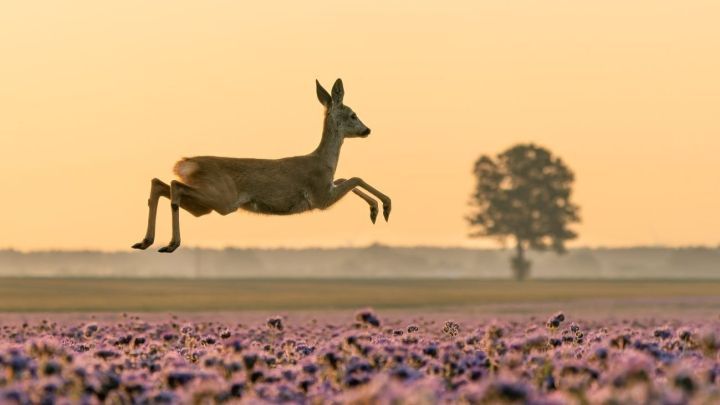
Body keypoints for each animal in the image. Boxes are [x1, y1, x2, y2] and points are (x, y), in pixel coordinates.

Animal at [132, 78, 391, 253]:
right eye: (353, 114)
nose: (367, 130)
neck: (323, 162)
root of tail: (187, 163)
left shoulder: (327, 188)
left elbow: (347, 178)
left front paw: (375, 211)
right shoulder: (320, 198)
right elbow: (355, 178)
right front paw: (384, 208)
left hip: (205, 206)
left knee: (160, 183)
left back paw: (146, 242)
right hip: (222, 199)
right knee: (174, 186)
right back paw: (169, 244)